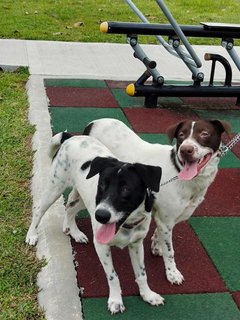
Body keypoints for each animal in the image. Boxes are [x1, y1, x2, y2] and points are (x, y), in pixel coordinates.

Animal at [25, 132, 163, 312]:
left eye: (126, 188)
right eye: (102, 184)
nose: (101, 216)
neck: (127, 224)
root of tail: (70, 137)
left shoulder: (136, 245)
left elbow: (142, 274)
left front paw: (148, 294)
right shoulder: (101, 246)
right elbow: (113, 276)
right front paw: (115, 300)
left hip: (86, 200)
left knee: (69, 208)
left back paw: (74, 232)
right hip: (56, 189)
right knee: (39, 210)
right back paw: (32, 235)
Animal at [83, 117, 230, 284]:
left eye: (204, 133)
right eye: (181, 135)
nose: (185, 150)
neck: (179, 172)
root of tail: (93, 122)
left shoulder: (169, 217)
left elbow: (161, 235)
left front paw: (156, 244)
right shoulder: (166, 220)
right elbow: (170, 250)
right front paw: (172, 272)